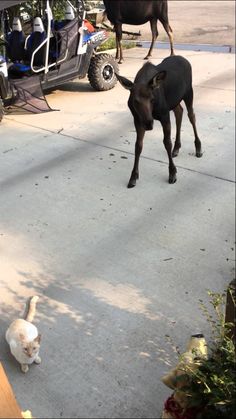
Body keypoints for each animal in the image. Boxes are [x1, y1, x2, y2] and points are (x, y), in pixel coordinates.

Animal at [116, 54, 203, 189]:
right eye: (135, 101)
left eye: (152, 99)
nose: (149, 124)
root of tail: (184, 59)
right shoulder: (137, 119)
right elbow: (138, 146)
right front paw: (133, 177)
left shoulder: (164, 115)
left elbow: (167, 142)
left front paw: (172, 173)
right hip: (175, 101)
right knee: (179, 112)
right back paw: (177, 148)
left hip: (189, 92)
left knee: (191, 115)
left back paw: (198, 148)